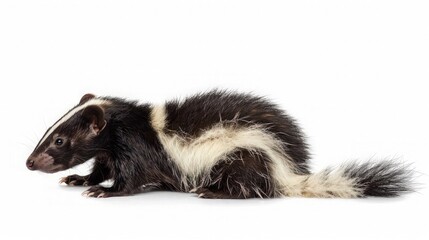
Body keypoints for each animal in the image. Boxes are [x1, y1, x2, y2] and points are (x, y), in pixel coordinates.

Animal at [25, 90, 412, 199]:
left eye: (59, 140)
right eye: (49, 131)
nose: (29, 162)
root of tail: (289, 171)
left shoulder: (137, 148)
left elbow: (133, 177)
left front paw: (105, 192)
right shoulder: (111, 151)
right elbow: (100, 166)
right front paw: (80, 180)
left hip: (243, 153)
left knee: (248, 186)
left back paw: (212, 192)